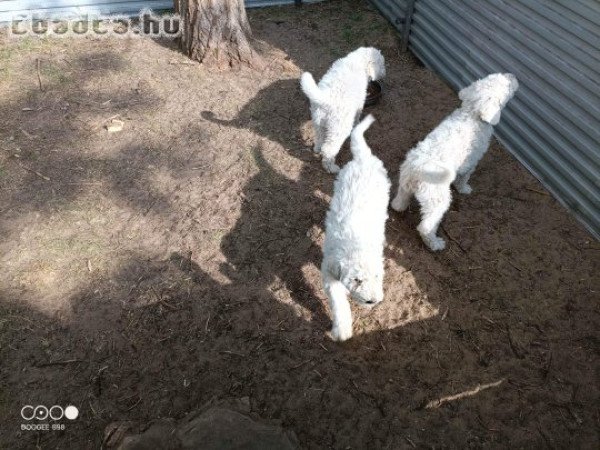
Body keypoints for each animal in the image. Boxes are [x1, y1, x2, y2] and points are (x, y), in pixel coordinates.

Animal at [322, 113, 392, 342]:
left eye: (377, 277)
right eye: (357, 280)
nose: (372, 301)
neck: (355, 243)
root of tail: (364, 159)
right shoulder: (329, 268)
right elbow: (338, 300)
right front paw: (342, 329)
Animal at [392, 72, 516, 251]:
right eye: (506, 85)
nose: (512, 75)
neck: (472, 113)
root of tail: (417, 169)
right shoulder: (471, 161)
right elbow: (464, 177)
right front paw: (464, 189)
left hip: (404, 185)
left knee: (399, 200)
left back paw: (399, 206)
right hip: (437, 200)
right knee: (426, 226)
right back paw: (435, 244)